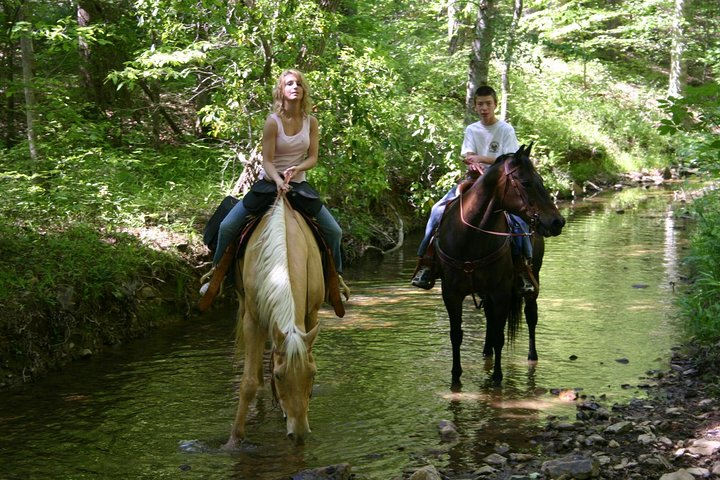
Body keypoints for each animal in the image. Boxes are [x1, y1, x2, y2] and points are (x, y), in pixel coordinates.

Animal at [436, 144, 564, 388]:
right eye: (526, 182)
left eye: (541, 180)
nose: (557, 222)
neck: (471, 237)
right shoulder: (451, 293)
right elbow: (456, 334)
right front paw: (455, 377)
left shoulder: (501, 292)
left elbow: (499, 335)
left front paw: (496, 378)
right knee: (489, 319)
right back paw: (486, 352)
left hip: (532, 278)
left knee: (531, 315)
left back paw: (532, 357)